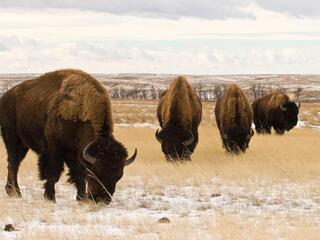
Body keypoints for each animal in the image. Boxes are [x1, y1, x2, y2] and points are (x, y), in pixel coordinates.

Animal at [0, 69, 136, 202]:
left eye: (118, 176)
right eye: (95, 173)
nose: (102, 200)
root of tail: (5, 97)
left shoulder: (75, 154)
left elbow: (79, 175)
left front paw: (81, 198)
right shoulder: (55, 150)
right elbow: (53, 173)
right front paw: (50, 197)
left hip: (23, 145)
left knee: (14, 164)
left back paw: (13, 192)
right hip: (13, 140)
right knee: (13, 163)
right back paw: (15, 192)